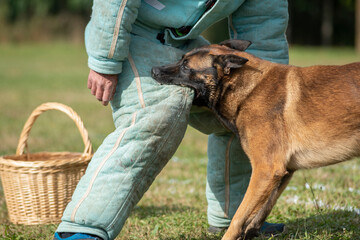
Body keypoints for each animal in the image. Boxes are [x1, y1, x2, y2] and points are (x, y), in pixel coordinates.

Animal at [151, 40, 360, 239]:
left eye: (186, 66)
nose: (153, 70)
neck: (249, 90)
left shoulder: (265, 170)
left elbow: (238, 216)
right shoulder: (282, 173)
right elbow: (258, 213)